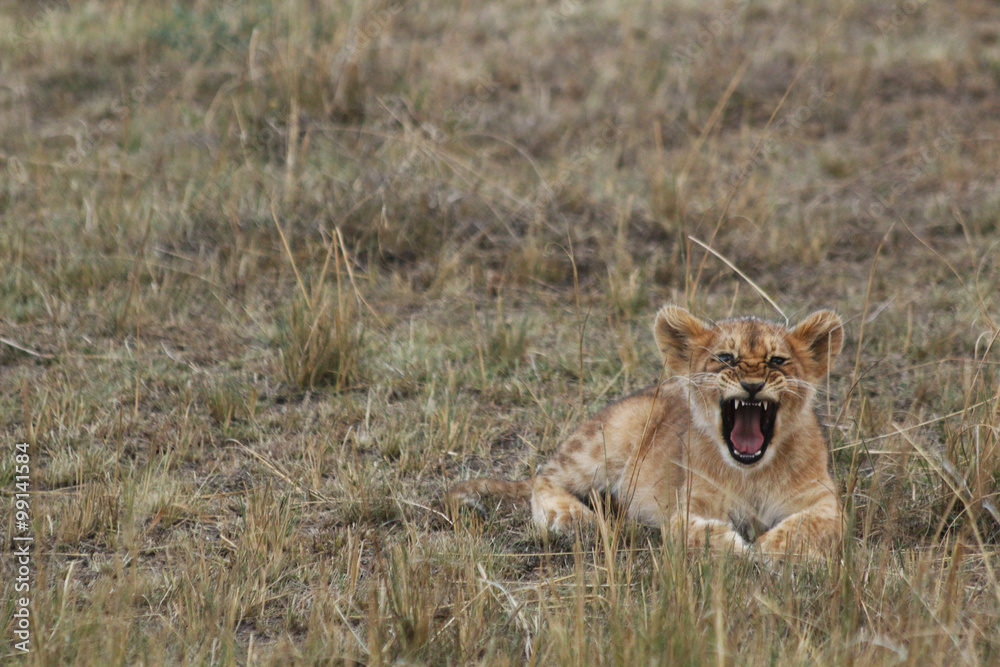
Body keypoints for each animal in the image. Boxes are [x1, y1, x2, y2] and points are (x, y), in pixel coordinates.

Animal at [447, 305, 846, 561]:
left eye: (778, 361)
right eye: (725, 358)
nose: (751, 385)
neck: (752, 472)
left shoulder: (826, 502)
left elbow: (810, 526)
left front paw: (769, 548)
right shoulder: (687, 506)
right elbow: (691, 532)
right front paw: (739, 548)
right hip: (605, 440)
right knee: (543, 477)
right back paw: (572, 516)